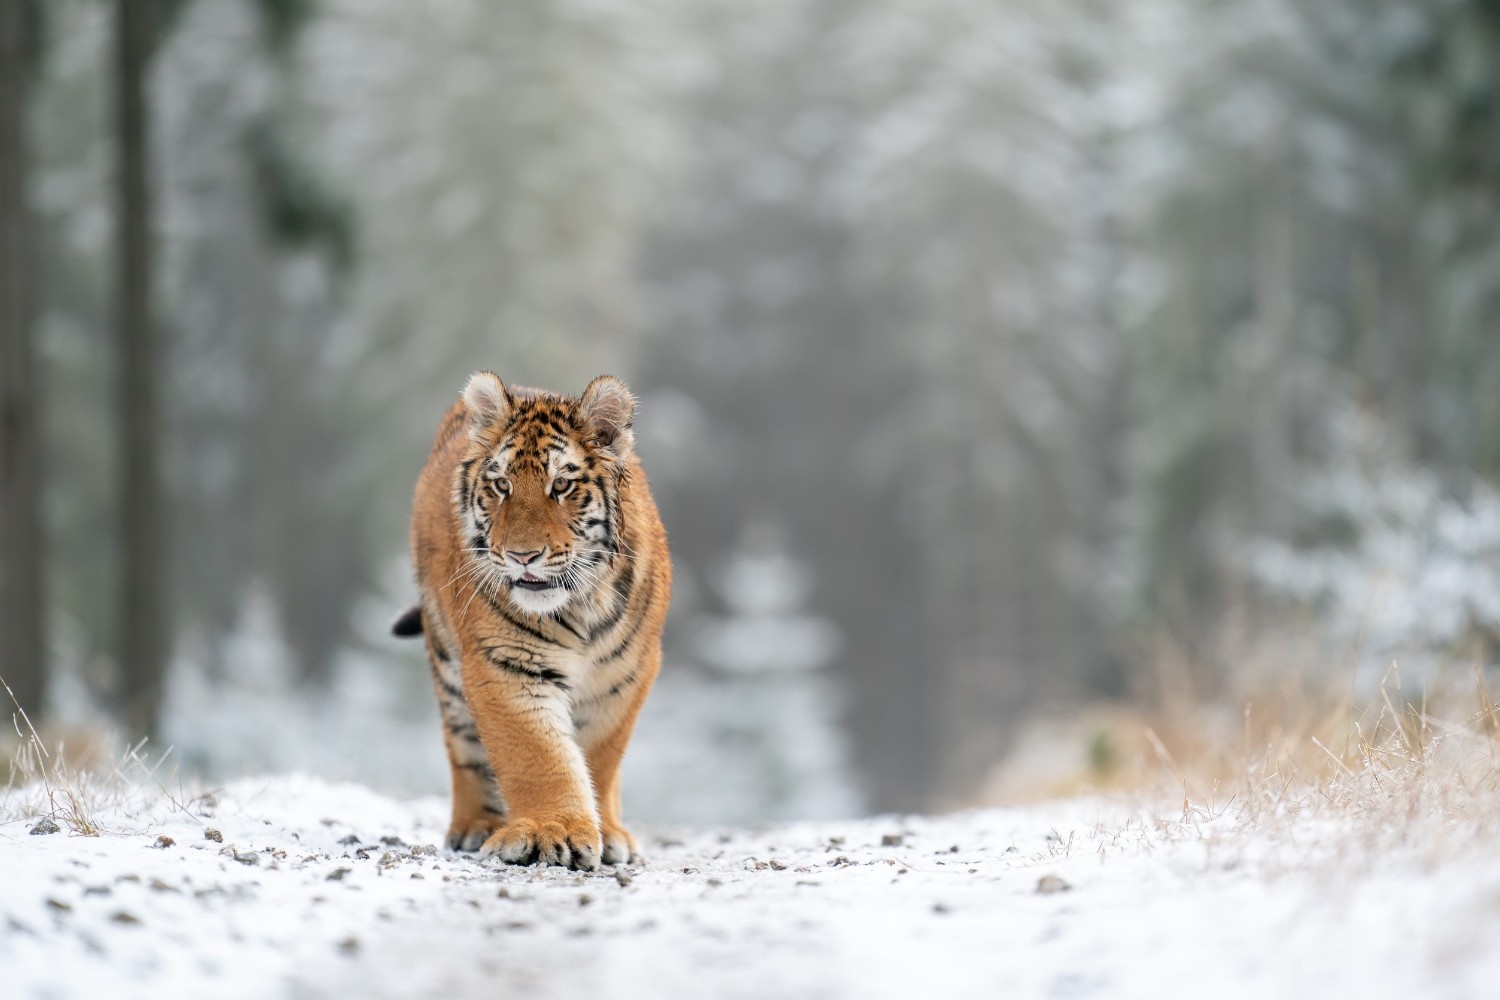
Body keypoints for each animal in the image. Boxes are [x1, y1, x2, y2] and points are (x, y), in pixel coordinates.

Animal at [396, 371, 671, 870]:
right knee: (464, 748)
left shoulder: (626, 674)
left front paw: (603, 832)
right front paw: (550, 831)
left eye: (560, 485)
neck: (582, 604)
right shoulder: (506, 664)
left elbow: (601, 757)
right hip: (446, 663)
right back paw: (475, 826)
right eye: (502, 485)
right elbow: (537, 754)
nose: (522, 556)